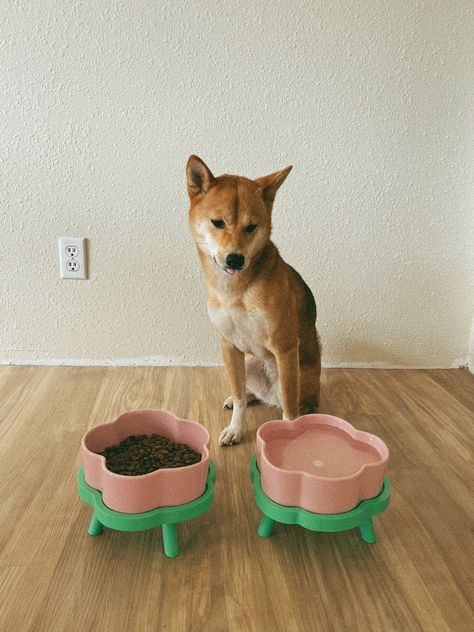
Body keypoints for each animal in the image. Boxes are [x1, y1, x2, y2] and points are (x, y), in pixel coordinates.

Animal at [186, 156, 322, 446]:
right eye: (218, 223)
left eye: (251, 227)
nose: (235, 259)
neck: (236, 291)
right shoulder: (228, 346)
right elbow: (239, 399)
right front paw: (235, 428)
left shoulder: (285, 348)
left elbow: (289, 412)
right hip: (248, 363)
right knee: (248, 393)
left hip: (298, 374)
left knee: (297, 404)